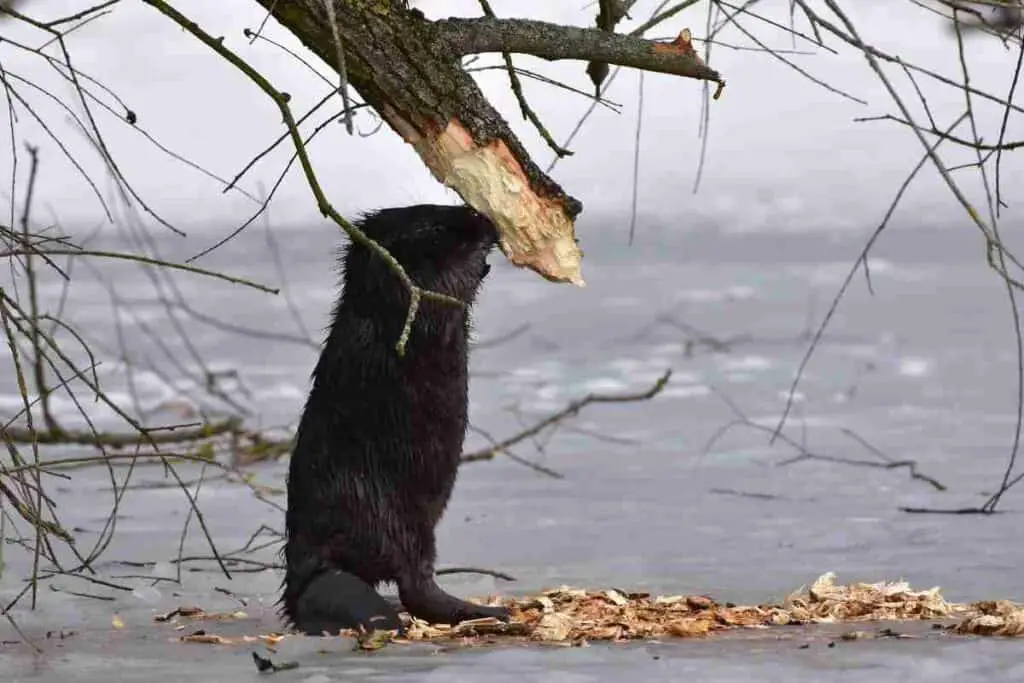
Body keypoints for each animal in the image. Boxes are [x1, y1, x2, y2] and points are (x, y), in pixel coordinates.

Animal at [280, 202, 507, 634]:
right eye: (439, 226)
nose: (483, 216)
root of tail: (316, 569)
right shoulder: (412, 293)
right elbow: (445, 290)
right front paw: (481, 255)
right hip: (399, 521)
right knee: (415, 585)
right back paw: (486, 613)